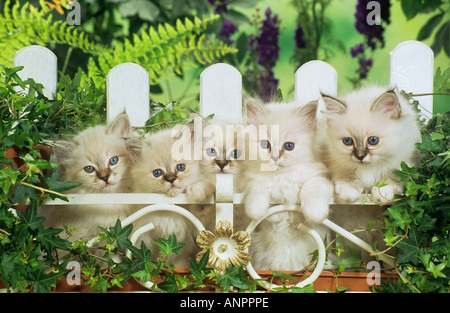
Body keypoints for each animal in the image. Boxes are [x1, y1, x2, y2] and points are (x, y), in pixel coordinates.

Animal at [127, 128, 215, 266]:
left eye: (181, 167)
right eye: (157, 173)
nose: (171, 179)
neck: (171, 210)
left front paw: (197, 192)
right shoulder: (147, 236)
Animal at [243, 98, 334, 270]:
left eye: (289, 146)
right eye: (265, 145)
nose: (275, 158)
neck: (281, 178)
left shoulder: (320, 177)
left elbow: (312, 189)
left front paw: (315, 212)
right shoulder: (250, 180)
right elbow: (256, 190)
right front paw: (255, 210)